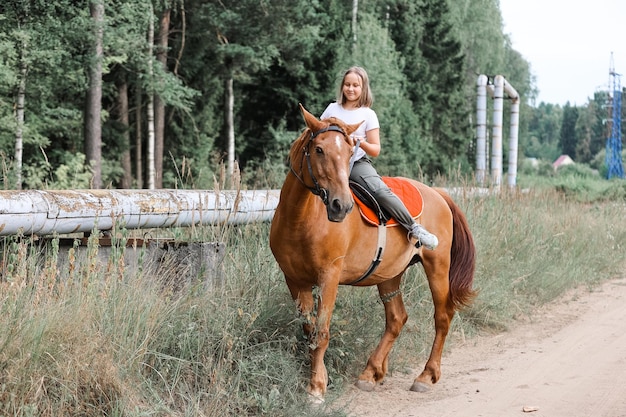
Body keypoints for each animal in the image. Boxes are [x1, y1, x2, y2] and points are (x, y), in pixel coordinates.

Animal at [268, 105, 472, 400]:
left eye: (349, 152)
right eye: (318, 149)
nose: (341, 205)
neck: (300, 220)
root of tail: (438, 194)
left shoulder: (329, 276)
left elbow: (322, 331)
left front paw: (316, 387)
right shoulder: (294, 280)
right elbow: (308, 328)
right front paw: (319, 378)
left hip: (438, 266)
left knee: (442, 317)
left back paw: (425, 375)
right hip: (390, 274)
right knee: (397, 318)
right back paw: (371, 372)